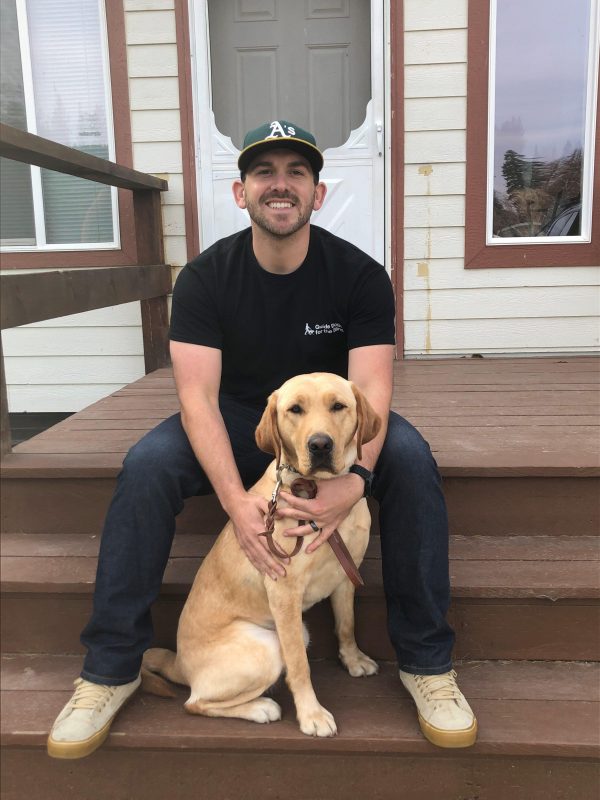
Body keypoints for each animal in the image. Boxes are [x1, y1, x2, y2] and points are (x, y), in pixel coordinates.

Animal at [142, 372, 380, 736]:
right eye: (295, 409)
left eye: (338, 406)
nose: (320, 445)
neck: (317, 490)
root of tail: (179, 662)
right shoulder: (284, 592)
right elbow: (299, 664)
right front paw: (311, 714)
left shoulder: (344, 574)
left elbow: (346, 625)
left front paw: (353, 660)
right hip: (266, 646)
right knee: (194, 703)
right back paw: (260, 708)